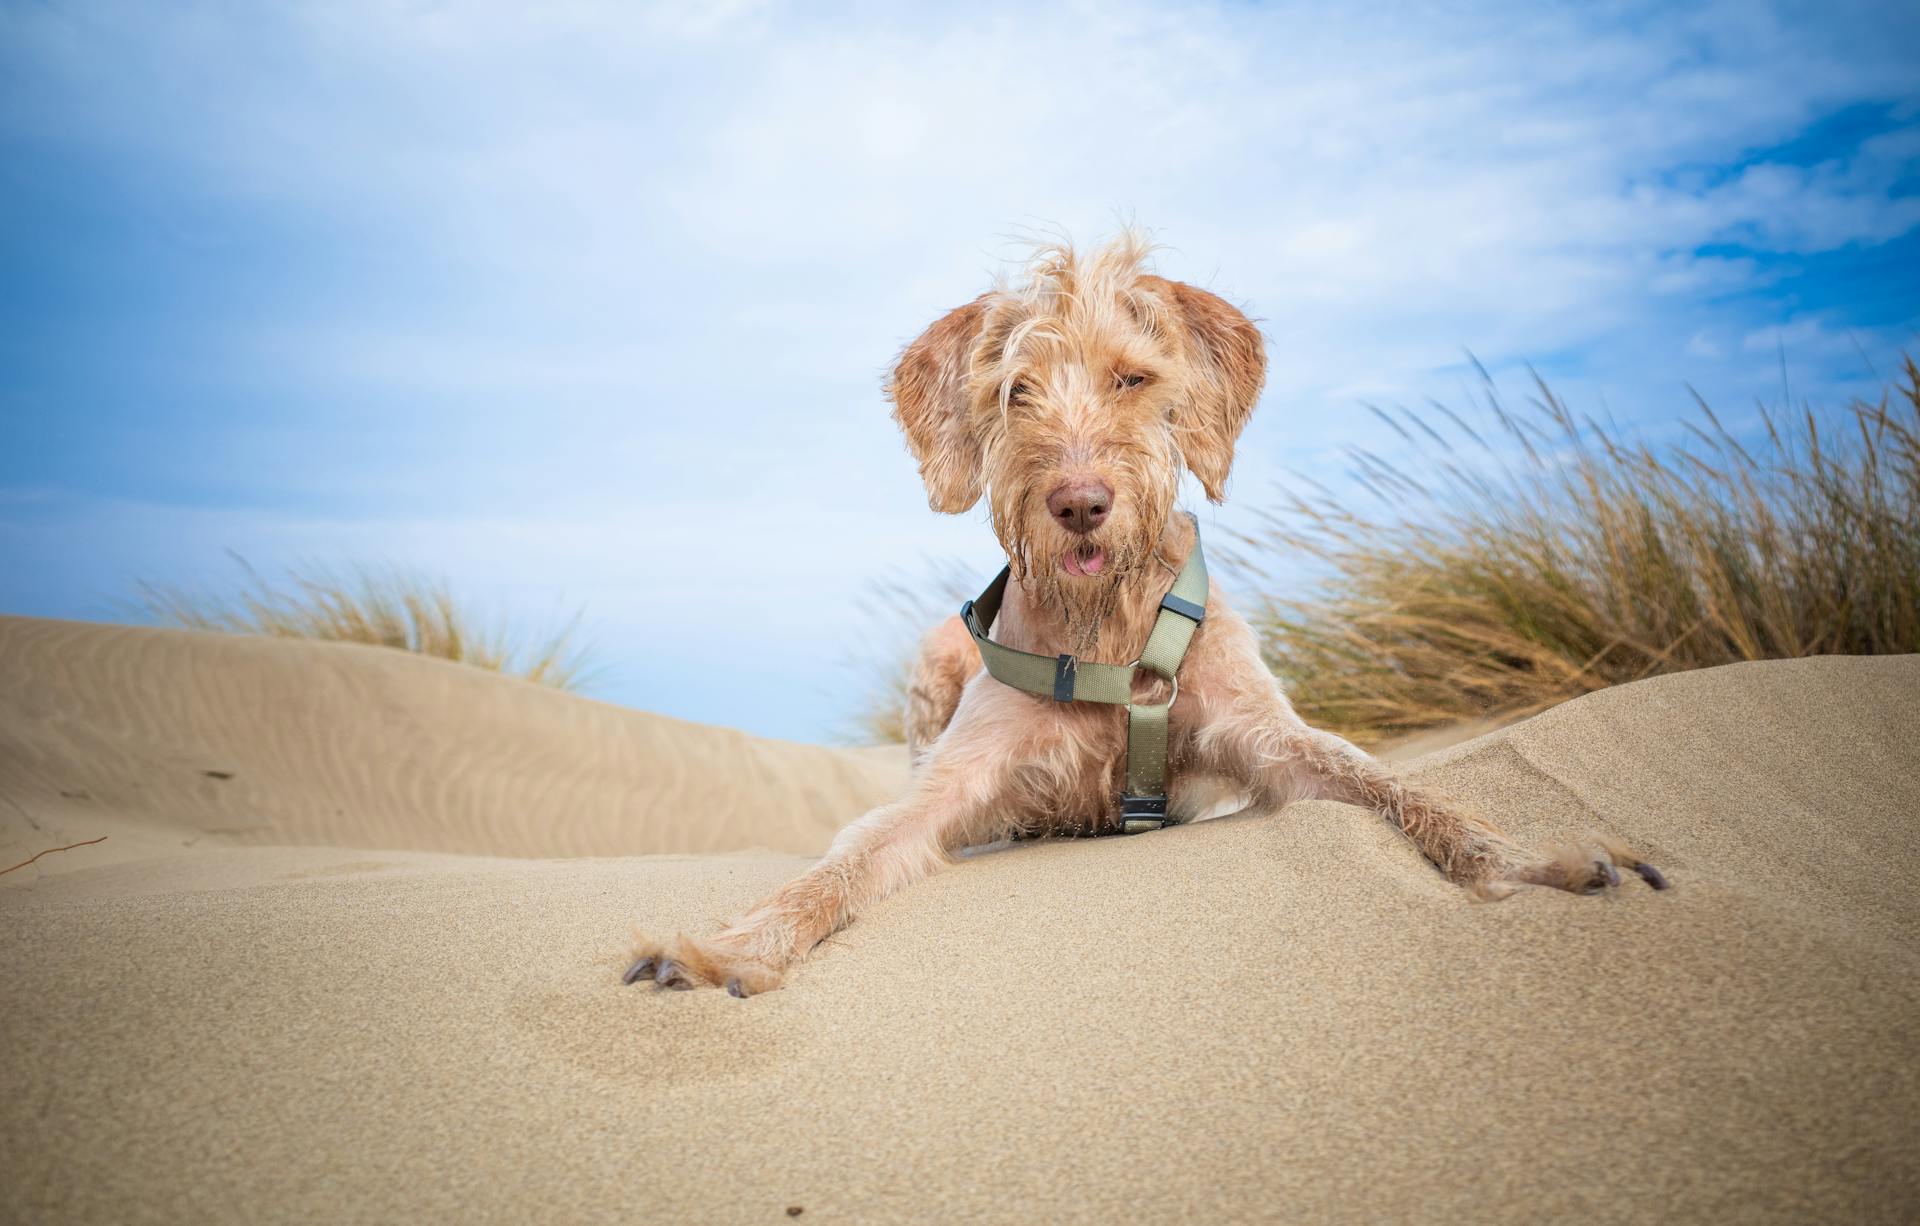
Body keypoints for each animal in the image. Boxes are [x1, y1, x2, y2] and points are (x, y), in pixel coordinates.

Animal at [622, 235, 1658, 1005]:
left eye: (1130, 379)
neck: (1108, 632)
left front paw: (1529, 862)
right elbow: (851, 855)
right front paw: (737, 946)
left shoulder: (1262, 735)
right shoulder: (955, 780)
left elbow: (1399, 790)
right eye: (1016, 392)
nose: (1079, 503)